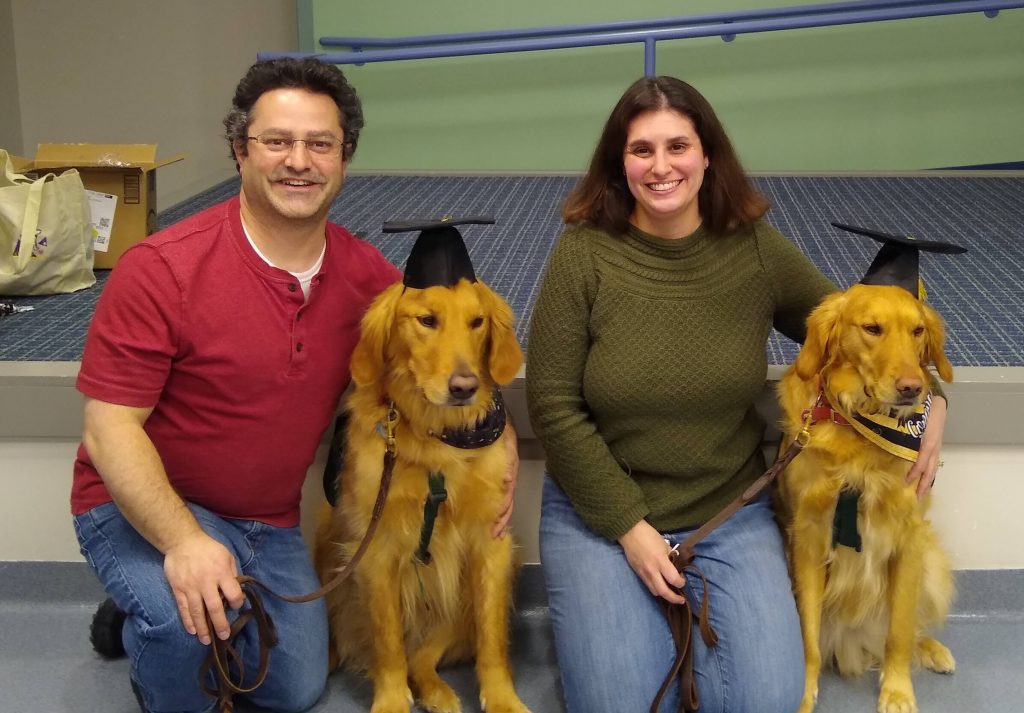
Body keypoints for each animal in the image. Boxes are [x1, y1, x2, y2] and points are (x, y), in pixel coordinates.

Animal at [317, 276, 528, 713]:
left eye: (477, 322)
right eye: (427, 320)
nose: (464, 388)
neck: (437, 439)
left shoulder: (492, 543)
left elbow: (492, 637)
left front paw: (502, 698)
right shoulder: (375, 549)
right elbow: (388, 645)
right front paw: (391, 701)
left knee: (423, 657)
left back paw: (437, 692)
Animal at [778, 284, 954, 713]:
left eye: (918, 331)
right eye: (872, 329)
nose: (912, 388)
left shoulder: (909, 536)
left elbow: (900, 630)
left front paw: (898, 690)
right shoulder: (808, 536)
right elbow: (808, 633)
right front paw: (804, 693)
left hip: (933, 562)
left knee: (909, 628)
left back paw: (932, 649)